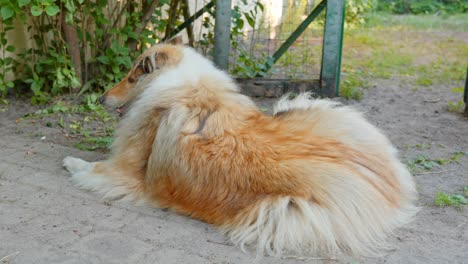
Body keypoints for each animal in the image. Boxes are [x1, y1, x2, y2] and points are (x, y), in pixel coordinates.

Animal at [62, 37, 416, 258]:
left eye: (132, 77)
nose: (100, 98)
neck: (182, 88)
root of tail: (387, 190)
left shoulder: (123, 172)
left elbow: (90, 166)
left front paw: (70, 162)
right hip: (322, 112)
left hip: (286, 211)